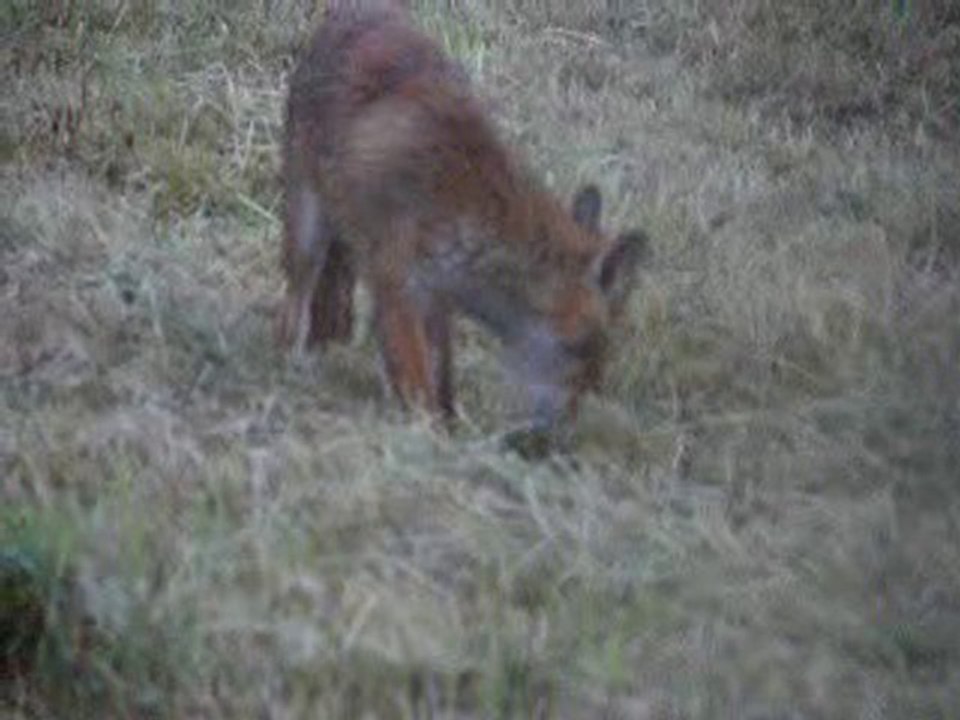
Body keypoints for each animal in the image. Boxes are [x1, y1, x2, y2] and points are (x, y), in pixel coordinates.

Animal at [277, 1, 648, 437]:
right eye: (584, 350)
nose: (556, 441)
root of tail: (362, 10)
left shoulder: (438, 299)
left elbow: (442, 376)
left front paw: (451, 425)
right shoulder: (398, 284)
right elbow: (418, 382)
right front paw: (429, 434)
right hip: (307, 226)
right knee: (296, 299)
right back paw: (289, 359)